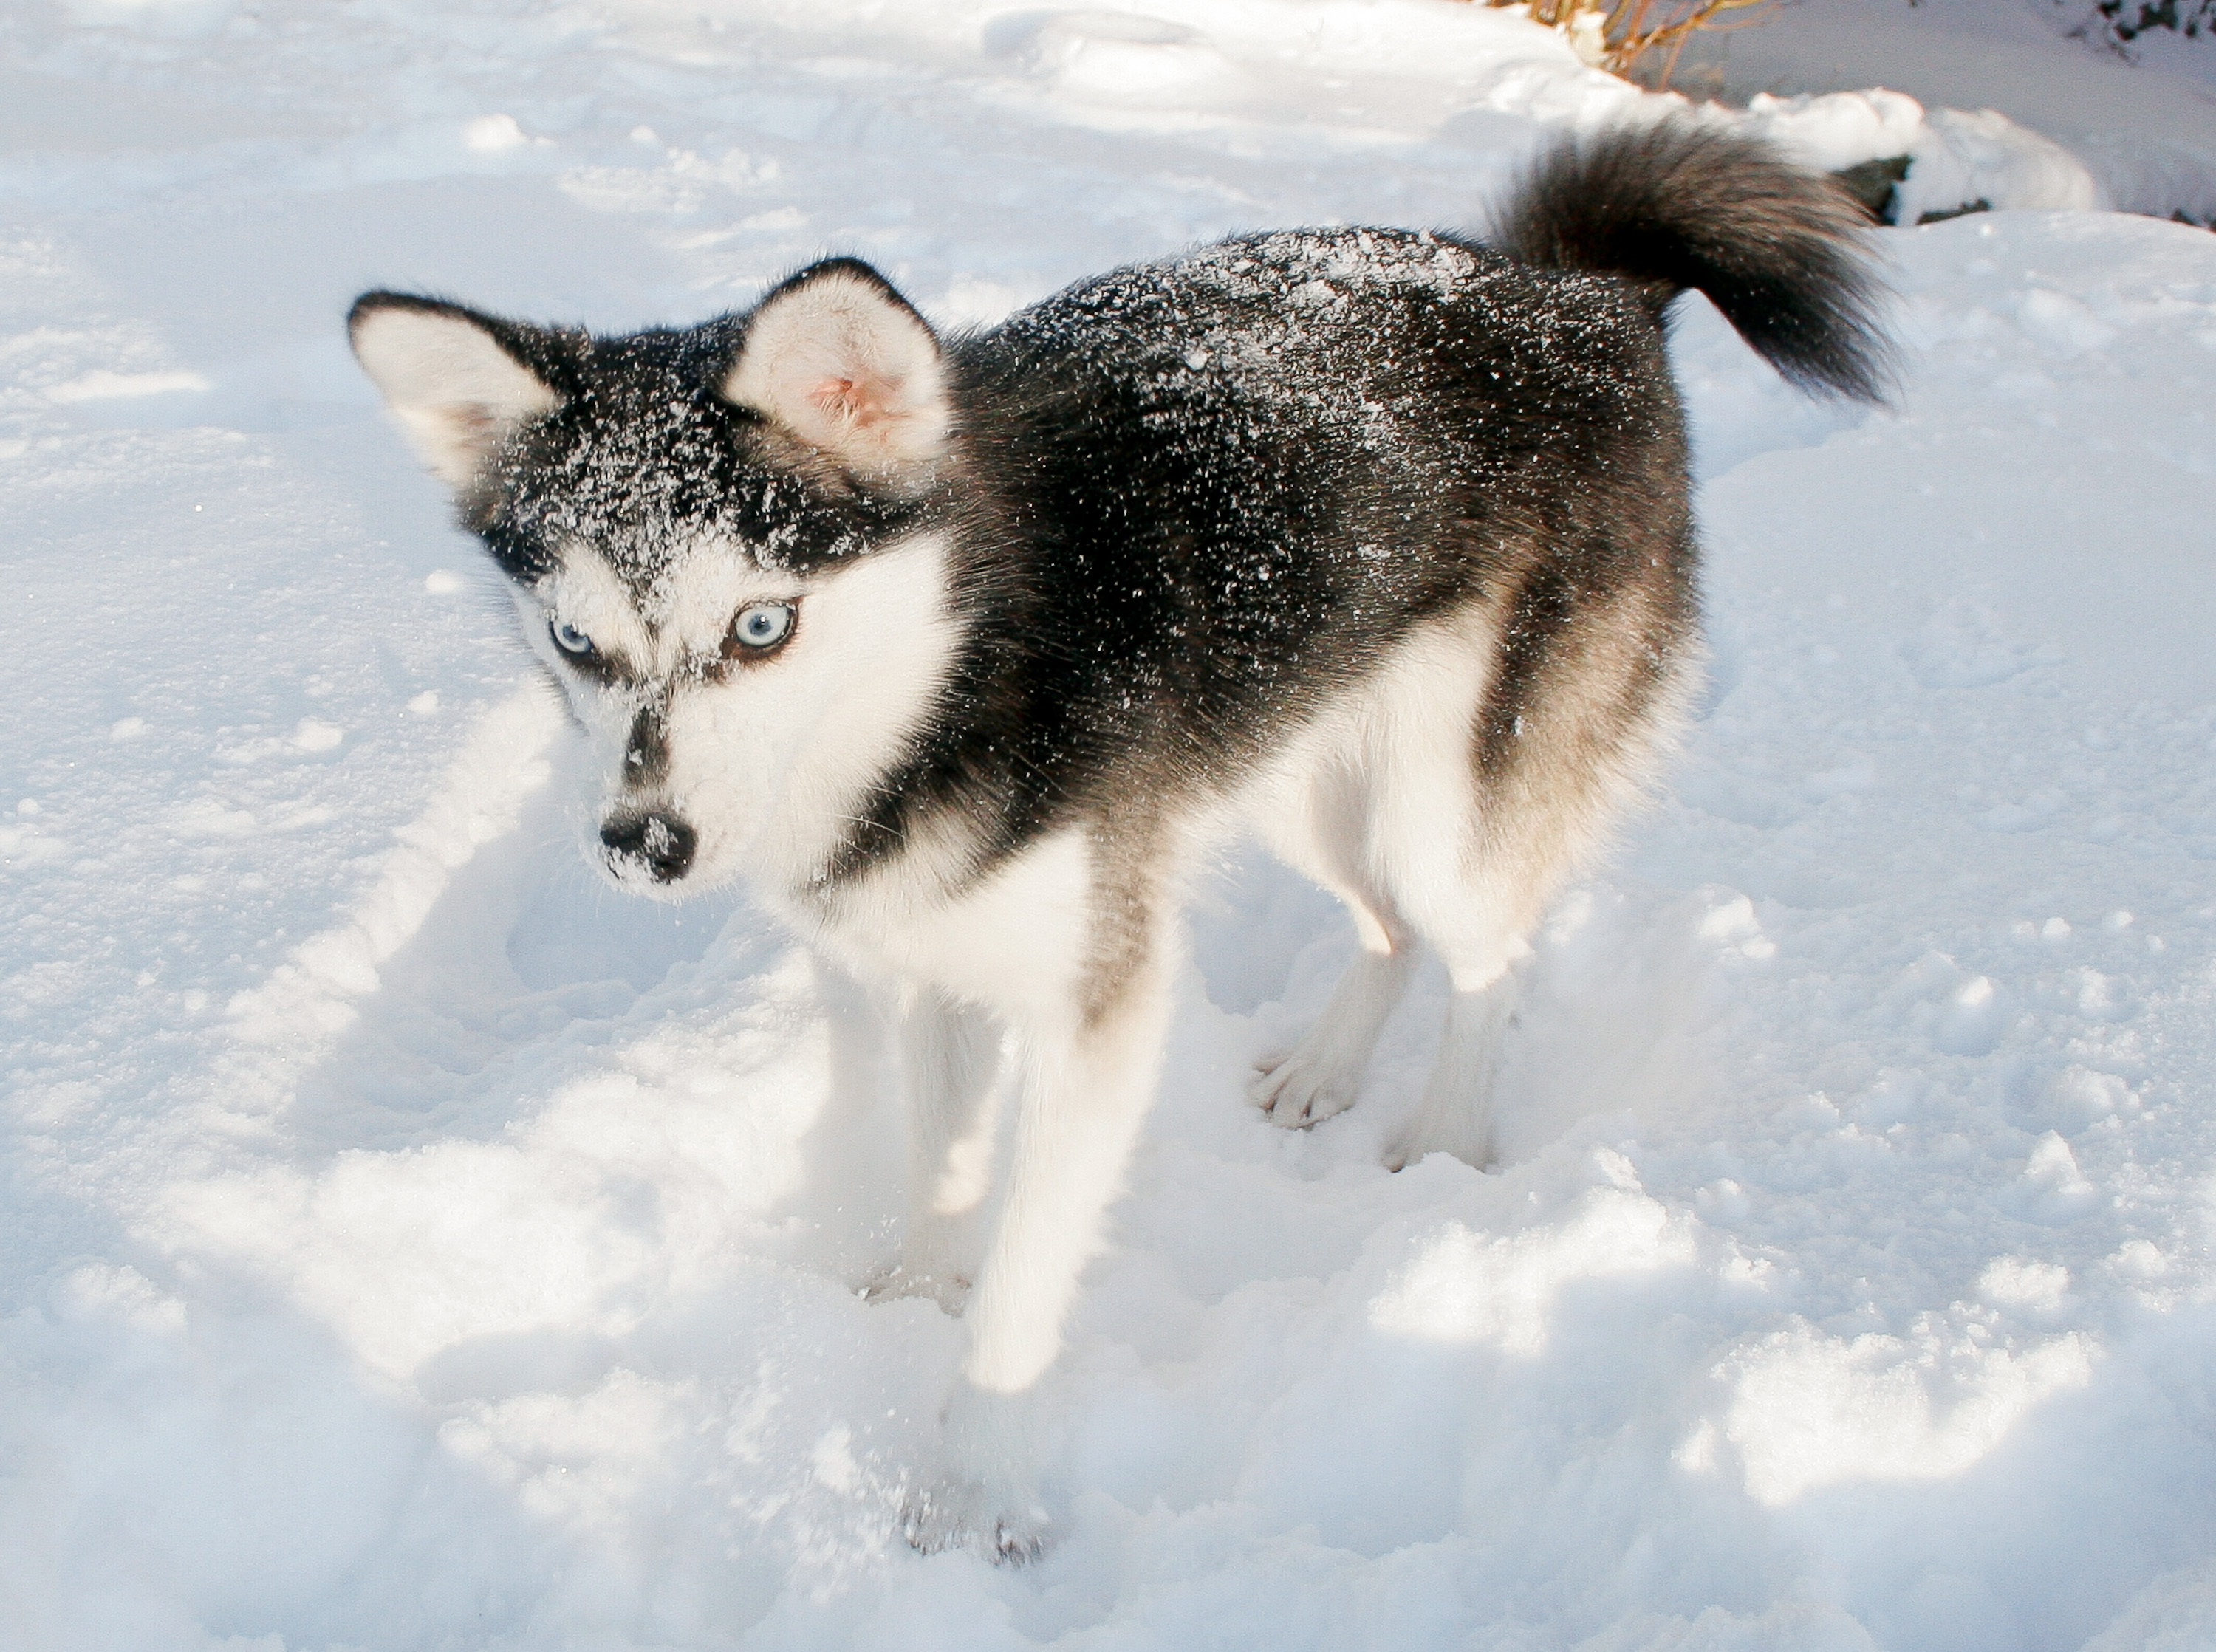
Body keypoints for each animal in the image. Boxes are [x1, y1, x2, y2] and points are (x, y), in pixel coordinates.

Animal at [350, 122, 1888, 1550]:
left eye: (762, 624)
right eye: (574, 642)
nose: (643, 843)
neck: (957, 679)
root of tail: (1573, 290)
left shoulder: (1098, 1006)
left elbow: (1029, 1279)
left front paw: (980, 1476)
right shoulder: (928, 959)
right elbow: (942, 1159)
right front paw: (918, 1290)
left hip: (1439, 807)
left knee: (1482, 958)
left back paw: (1446, 1143)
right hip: (1297, 771)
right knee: (1385, 926)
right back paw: (1325, 1073)